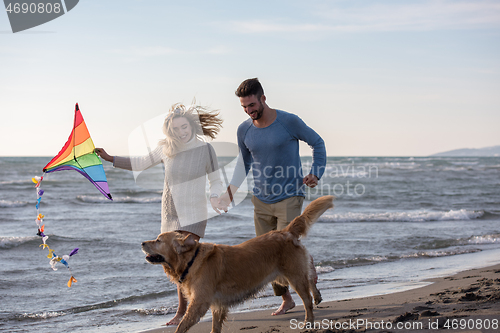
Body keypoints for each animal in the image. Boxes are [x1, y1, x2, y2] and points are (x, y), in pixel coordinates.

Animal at [142, 195, 336, 332]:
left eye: (158, 240)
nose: (142, 243)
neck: (192, 260)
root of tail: (285, 231)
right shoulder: (217, 306)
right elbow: (215, 328)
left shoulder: (199, 303)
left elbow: (182, 325)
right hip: (286, 275)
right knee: (310, 276)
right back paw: (317, 294)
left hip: (293, 276)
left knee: (307, 300)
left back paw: (308, 322)